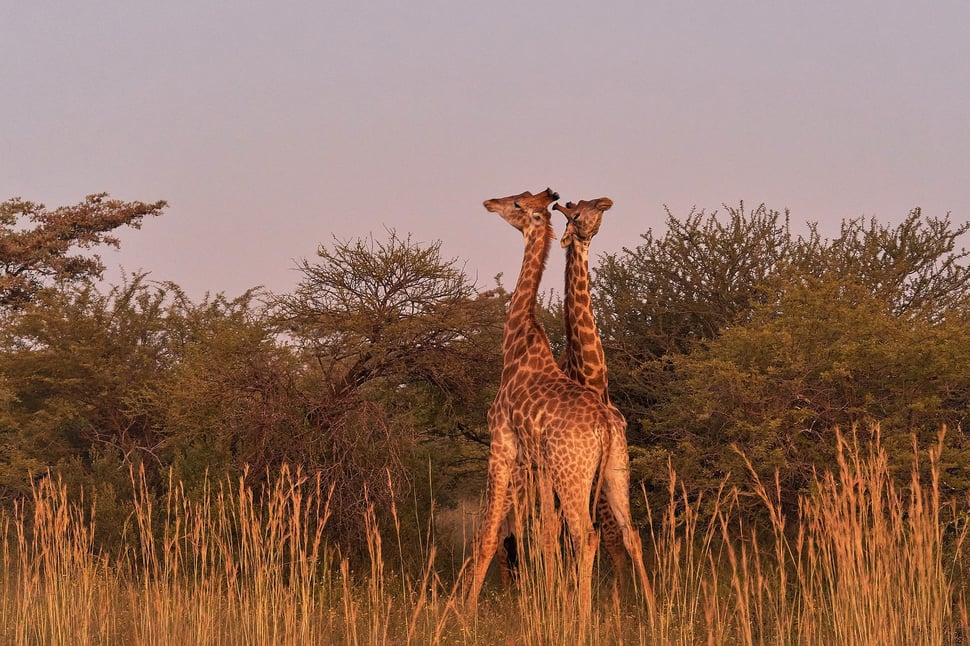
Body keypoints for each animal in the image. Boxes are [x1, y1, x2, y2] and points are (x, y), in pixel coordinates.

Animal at [467, 188, 615, 621]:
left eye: (517, 205)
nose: (490, 202)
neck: (516, 345)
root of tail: (604, 427)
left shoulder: (501, 445)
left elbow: (488, 533)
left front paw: (463, 611)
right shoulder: (535, 464)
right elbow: (538, 534)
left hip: (570, 474)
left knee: (583, 535)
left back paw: (581, 616)